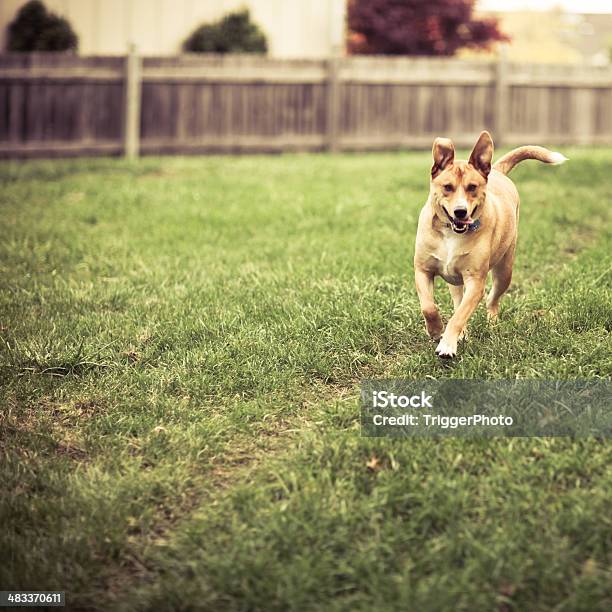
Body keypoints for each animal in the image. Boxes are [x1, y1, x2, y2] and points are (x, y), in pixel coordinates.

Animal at [414, 131, 568, 356]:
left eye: (472, 187)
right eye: (447, 187)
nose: (460, 212)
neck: (451, 233)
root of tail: (495, 169)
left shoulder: (475, 281)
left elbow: (460, 315)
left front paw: (447, 345)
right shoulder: (423, 270)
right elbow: (429, 307)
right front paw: (435, 331)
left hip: (505, 270)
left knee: (490, 299)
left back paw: (491, 323)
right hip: (456, 281)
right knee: (458, 301)